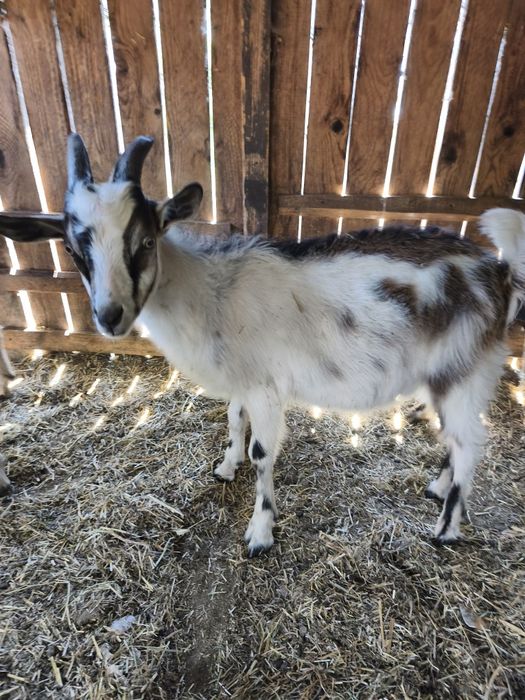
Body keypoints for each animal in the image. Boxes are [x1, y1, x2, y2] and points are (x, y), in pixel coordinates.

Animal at [1, 135, 524, 555]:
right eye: (73, 249)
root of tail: (499, 272)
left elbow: (262, 452)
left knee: (470, 443)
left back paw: (446, 529)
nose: (110, 316)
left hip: (464, 368)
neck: (208, 292)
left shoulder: (267, 387)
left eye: (146, 240)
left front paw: (260, 532)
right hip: (448, 375)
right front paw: (225, 467)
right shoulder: (242, 379)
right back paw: (437, 488)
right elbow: (234, 420)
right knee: (455, 438)